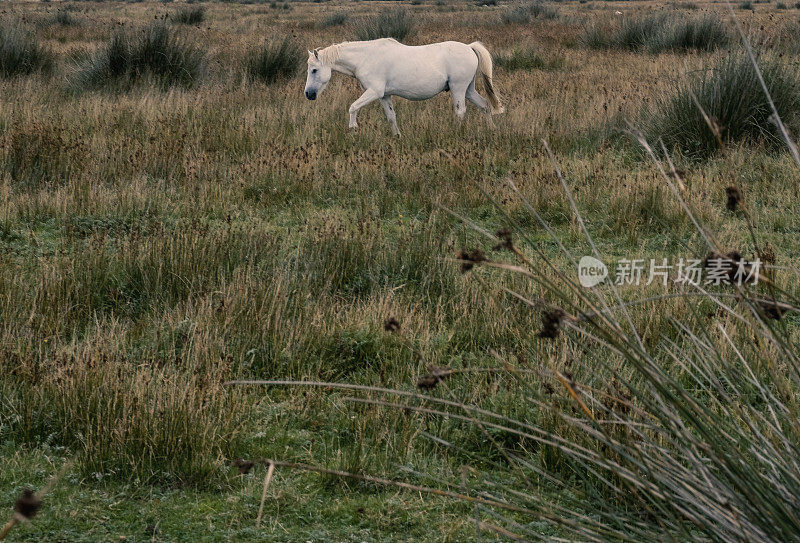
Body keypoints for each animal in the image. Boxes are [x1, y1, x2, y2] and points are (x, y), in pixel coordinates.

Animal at [304, 38, 504, 136]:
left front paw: (353, 128)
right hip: (468, 89)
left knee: (460, 111)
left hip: (458, 89)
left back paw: (455, 134)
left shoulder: (374, 92)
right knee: (485, 105)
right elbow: (391, 117)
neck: (365, 57)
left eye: (314, 70)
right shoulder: (384, 96)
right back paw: (492, 130)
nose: (308, 94)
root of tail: (469, 47)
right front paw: (397, 137)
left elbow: (353, 107)